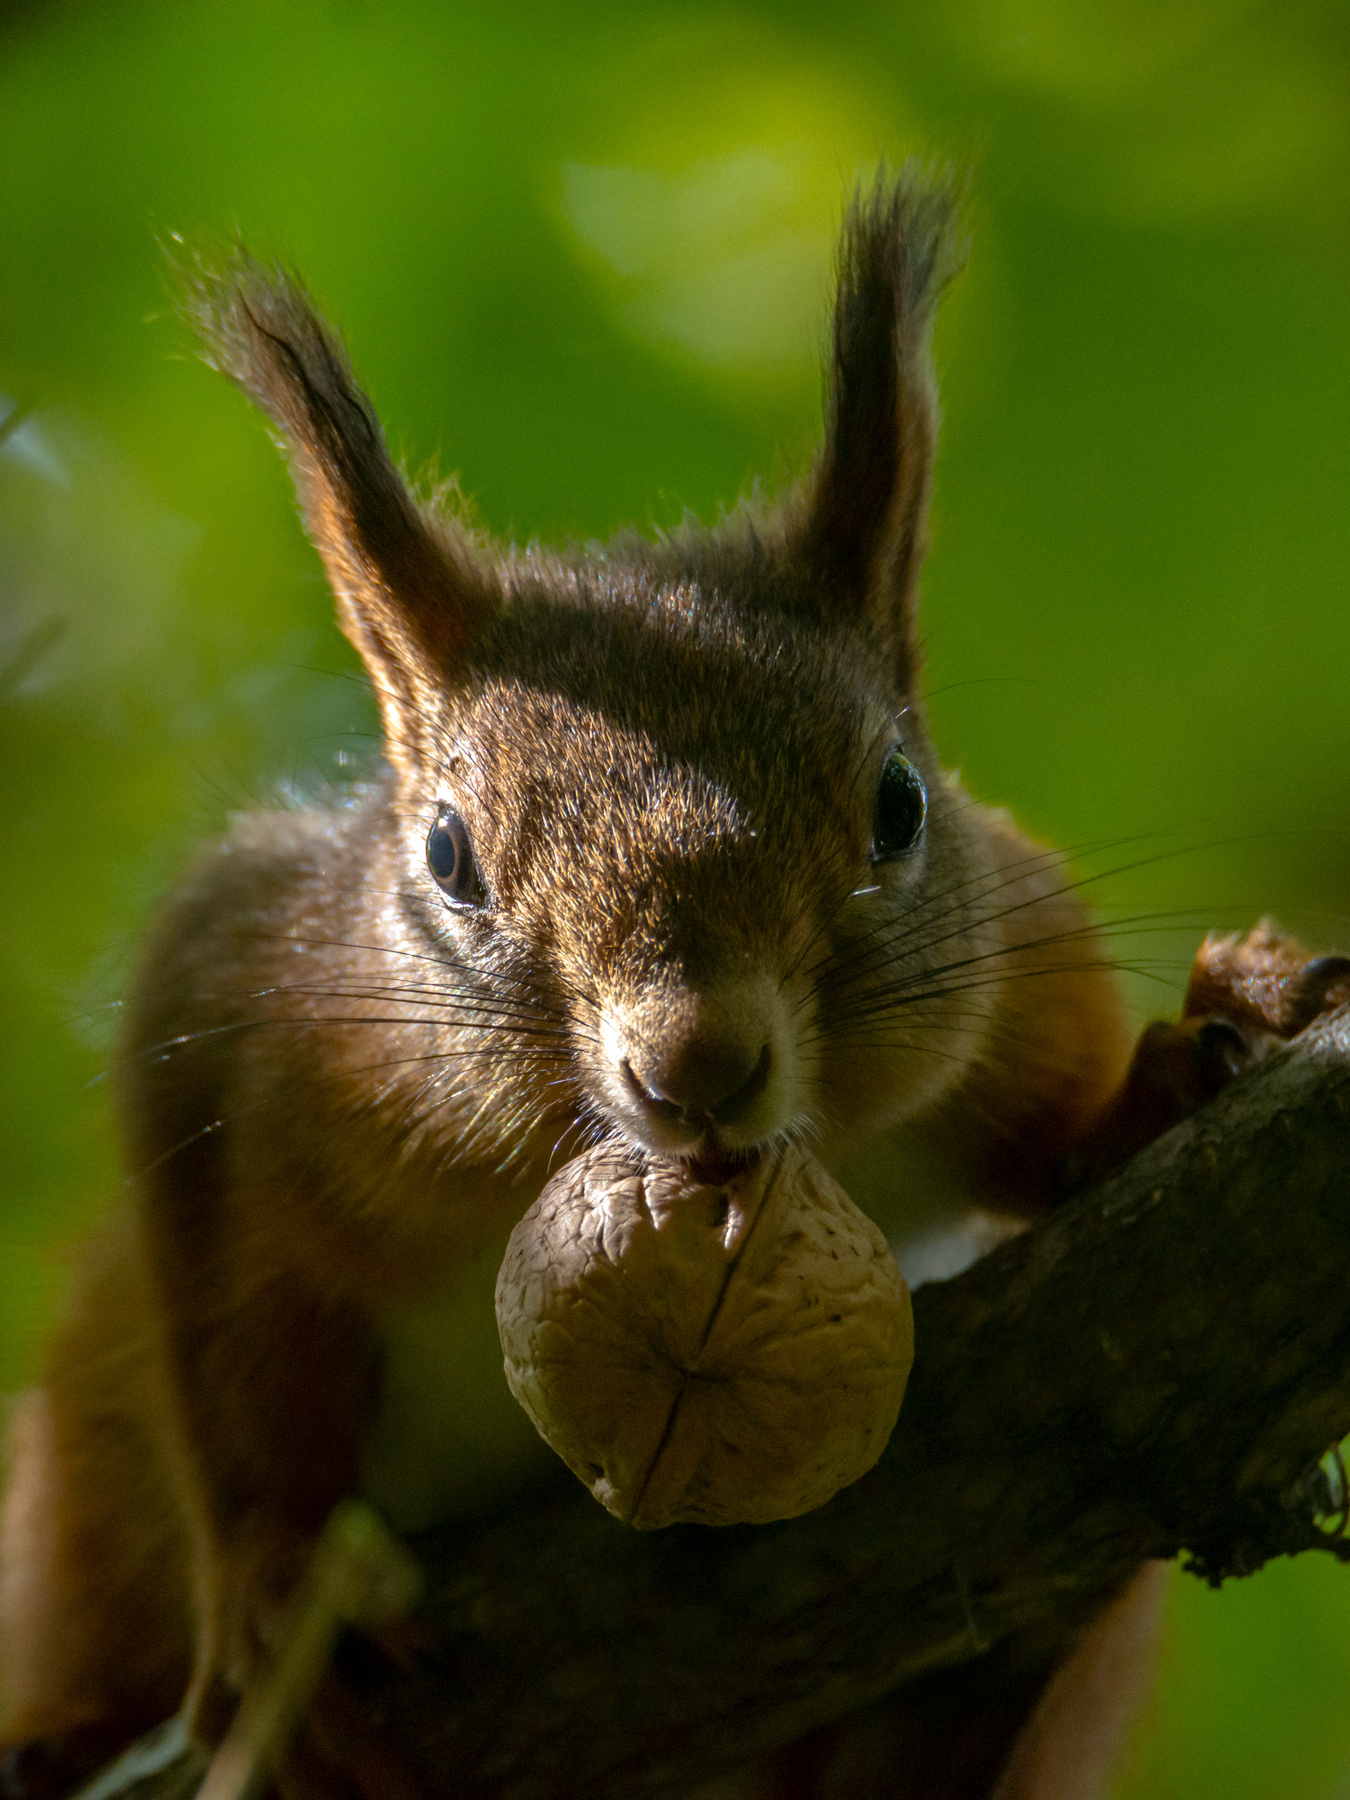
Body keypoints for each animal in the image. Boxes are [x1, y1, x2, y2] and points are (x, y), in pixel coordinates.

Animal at [3, 169, 1347, 1800]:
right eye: (446, 855)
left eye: (899, 805)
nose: (694, 1068)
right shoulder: (237, 1010)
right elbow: (228, 1347)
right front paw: (277, 1593)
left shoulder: (1012, 974)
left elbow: (1054, 1115)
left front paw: (1176, 1062)